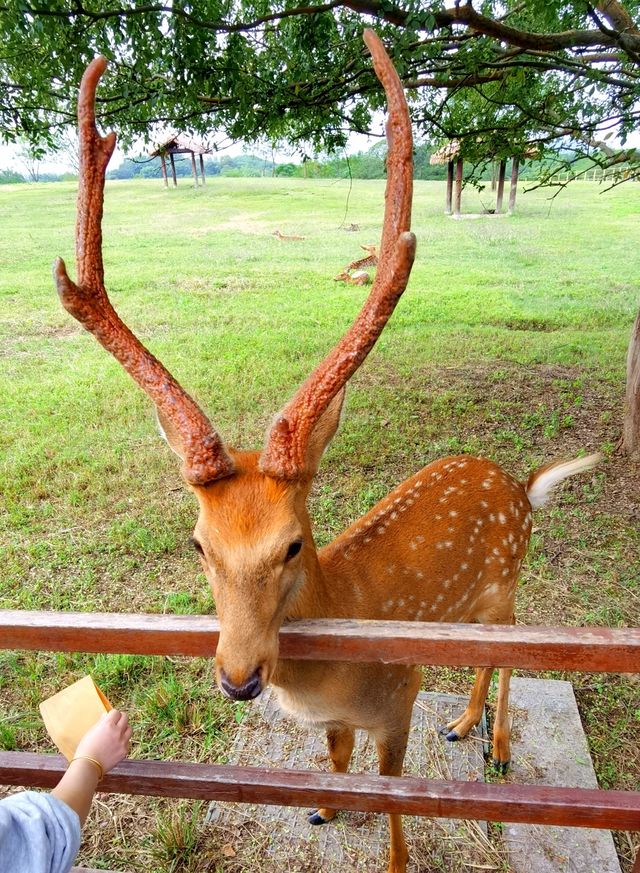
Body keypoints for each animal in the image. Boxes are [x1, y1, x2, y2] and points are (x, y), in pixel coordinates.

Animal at [53, 30, 600, 872]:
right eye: (198, 543)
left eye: (291, 543)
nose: (238, 678)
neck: (334, 669)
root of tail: (516, 482)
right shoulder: (339, 722)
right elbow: (337, 760)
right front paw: (323, 806)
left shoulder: (400, 693)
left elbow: (395, 797)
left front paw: (390, 845)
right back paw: (463, 723)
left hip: (507, 577)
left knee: (512, 647)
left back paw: (497, 741)